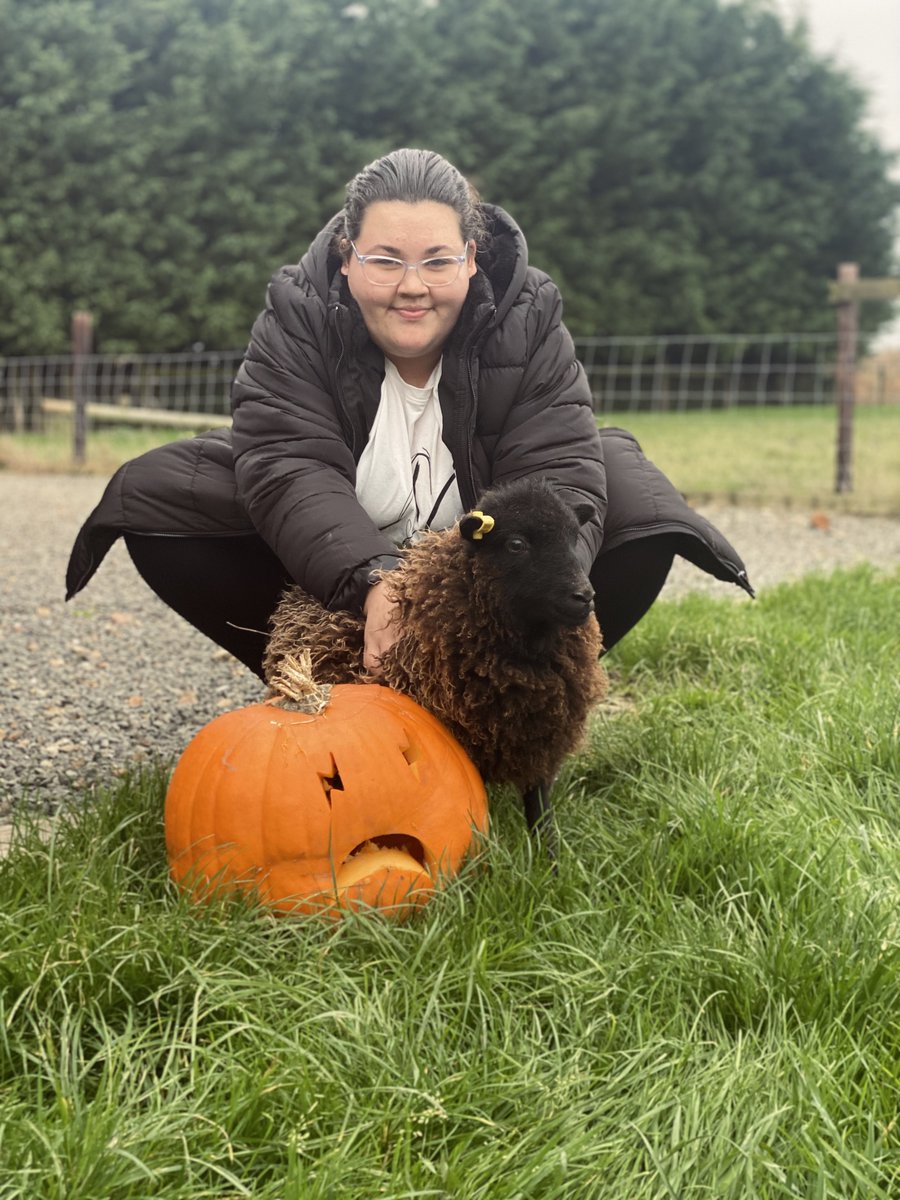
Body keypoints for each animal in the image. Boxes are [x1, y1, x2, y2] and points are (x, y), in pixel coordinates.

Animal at [263, 477, 608, 840]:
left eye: (574, 537)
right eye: (516, 544)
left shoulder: (541, 735)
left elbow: (539, 806)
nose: (584, 597)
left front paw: (547, 851)